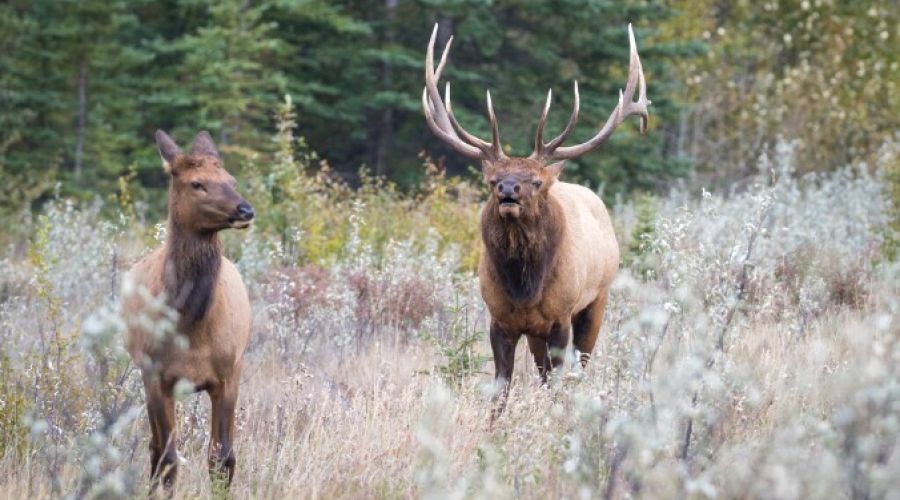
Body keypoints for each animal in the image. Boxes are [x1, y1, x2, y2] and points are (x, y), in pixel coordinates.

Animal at [123, 130, 255, 491]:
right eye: (197, 183)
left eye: (231, 179)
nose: (245, 209)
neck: (192, 327)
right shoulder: (156, 376)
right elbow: (168, 458)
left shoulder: (228, 373)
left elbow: (222, 458)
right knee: (155, 449)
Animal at [422, 23, 649, 417]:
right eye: (492, 180)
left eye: (536, 181)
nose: (508, 190)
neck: (525, 286)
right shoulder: (500, 320)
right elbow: (501, 389)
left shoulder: (561, 317)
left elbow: (558, 383)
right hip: (537, 333)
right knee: (544, 371)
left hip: (597, 300)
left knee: (579, 368)